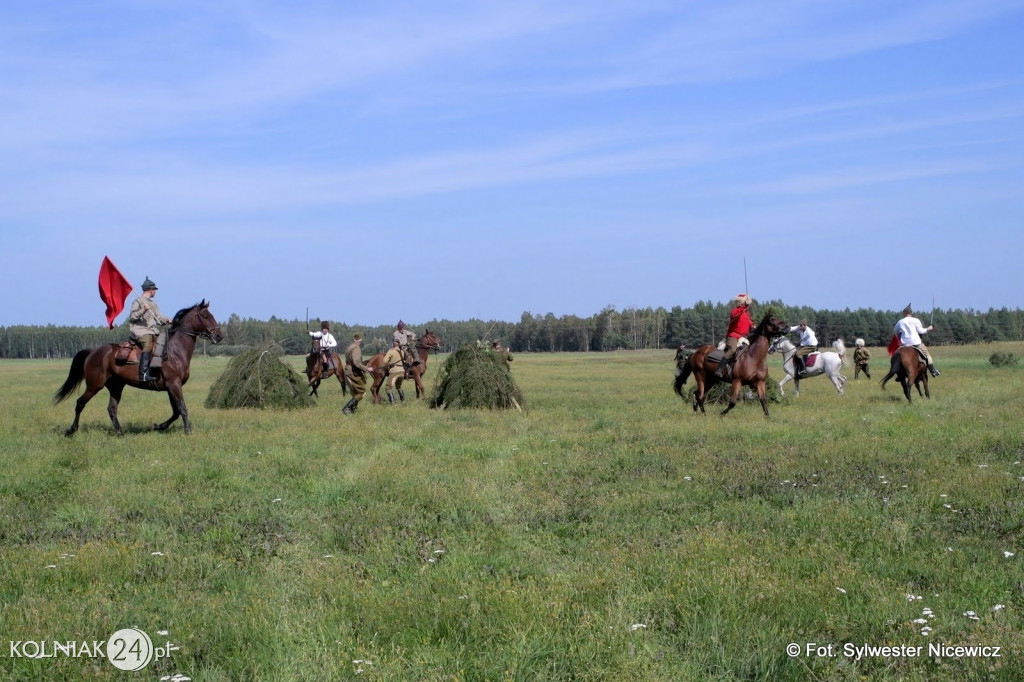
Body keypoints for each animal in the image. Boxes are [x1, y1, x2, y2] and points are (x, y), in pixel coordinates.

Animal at [54, 299, 222, 436]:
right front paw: (188, 430)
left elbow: (175, 411)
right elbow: (182, 408)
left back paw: (119, 432)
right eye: (206, 316)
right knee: (80, 403)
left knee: (111, 409)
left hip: (116, 386)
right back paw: (71, 430)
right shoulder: (174, 384)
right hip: (95, 385)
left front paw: (158, 426)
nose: (219, 336)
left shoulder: (171, 387)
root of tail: (93, 352)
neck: (174, 351)